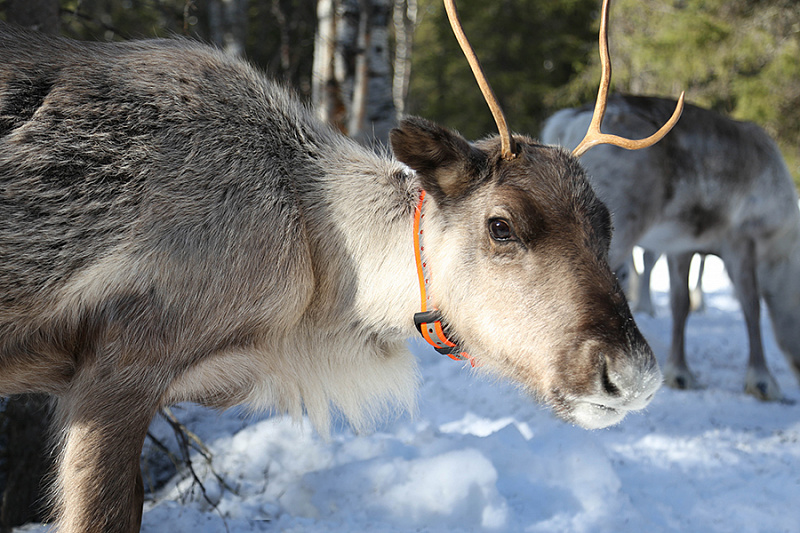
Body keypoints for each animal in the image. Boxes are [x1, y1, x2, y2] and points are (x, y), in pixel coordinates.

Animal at [542, 94, 800, 402]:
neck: (779, 250)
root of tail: (566, 122)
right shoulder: (742, 237)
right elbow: (751, 306)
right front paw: (762, 381)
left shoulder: (683, 246)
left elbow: (681, 304)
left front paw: (680, 372)